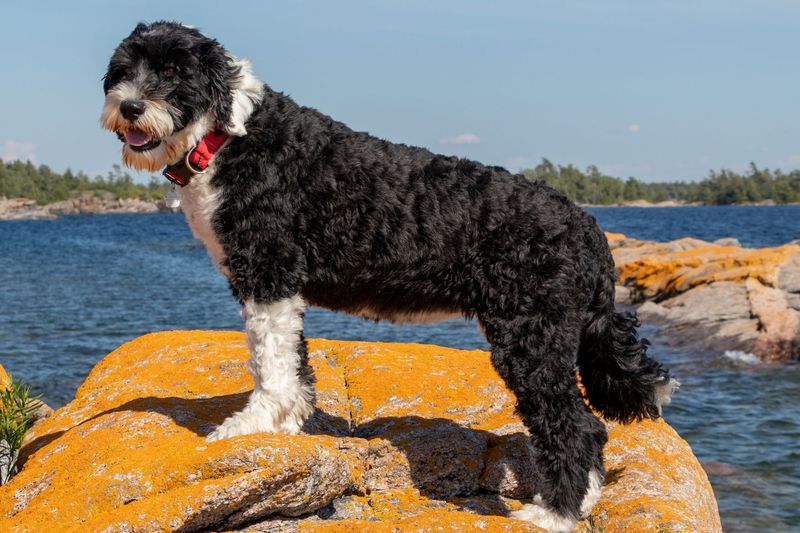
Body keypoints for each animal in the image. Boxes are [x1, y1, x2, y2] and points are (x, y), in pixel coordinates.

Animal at [98, 21, 676, 532]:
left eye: (173, 72)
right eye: (123, 70)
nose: (130, 106)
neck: (227, 138)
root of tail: (587, 226)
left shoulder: (267, 272)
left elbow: (270, 363)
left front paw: (253, 425)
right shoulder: (280, 287)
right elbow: (293, 362)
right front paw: (288, 423)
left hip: (531, 337)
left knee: (576, 427)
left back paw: (553, 514)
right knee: (591, 431)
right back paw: (582, 503)